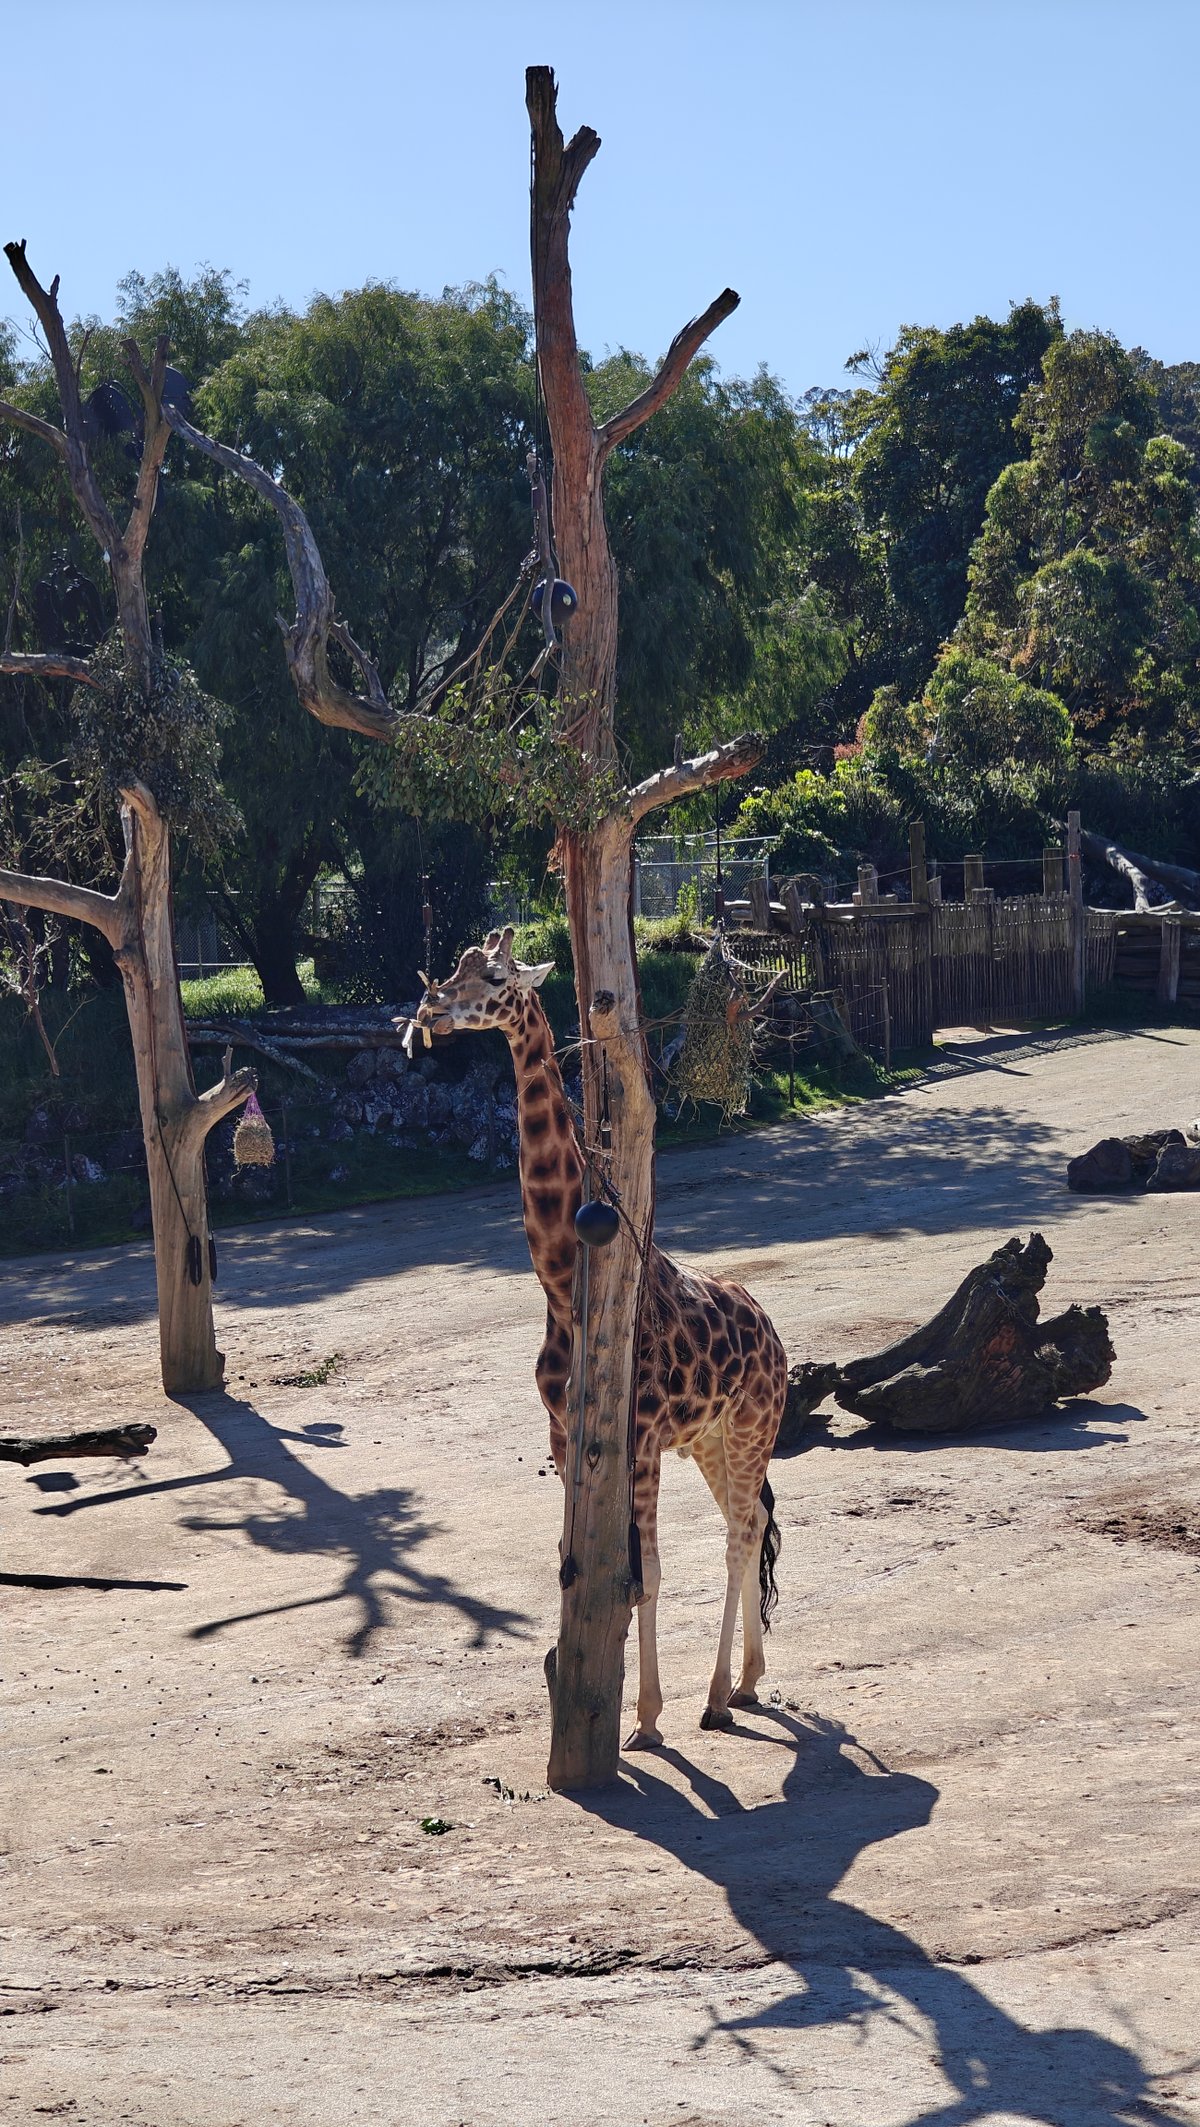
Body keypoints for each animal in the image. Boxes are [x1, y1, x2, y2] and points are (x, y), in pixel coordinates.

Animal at [408, 926, 789, 1747]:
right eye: (450, 969)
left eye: (494, 978)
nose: (430, 1010)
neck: (561, 1289)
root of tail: (775, 1336)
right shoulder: (564, 1436)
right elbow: (575, 1565)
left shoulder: (637, 1440)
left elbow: (643, 1573)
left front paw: (643, 1719)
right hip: (711, 1441)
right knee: (747, 1524)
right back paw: (746, 1680)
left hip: (752, 1427)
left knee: (742, 1533)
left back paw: (717, 1693)